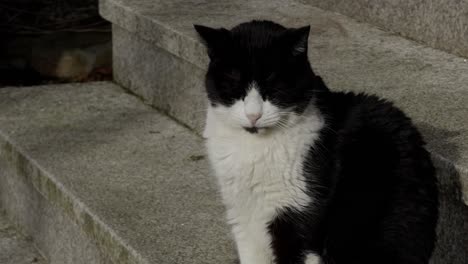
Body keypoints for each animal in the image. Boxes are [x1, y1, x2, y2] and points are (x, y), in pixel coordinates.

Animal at [194, 20, 438, 264]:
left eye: (274, 87)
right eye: (234, 84)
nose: (253, 115)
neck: (254, 148)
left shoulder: (299, 214)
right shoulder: (242, 213)